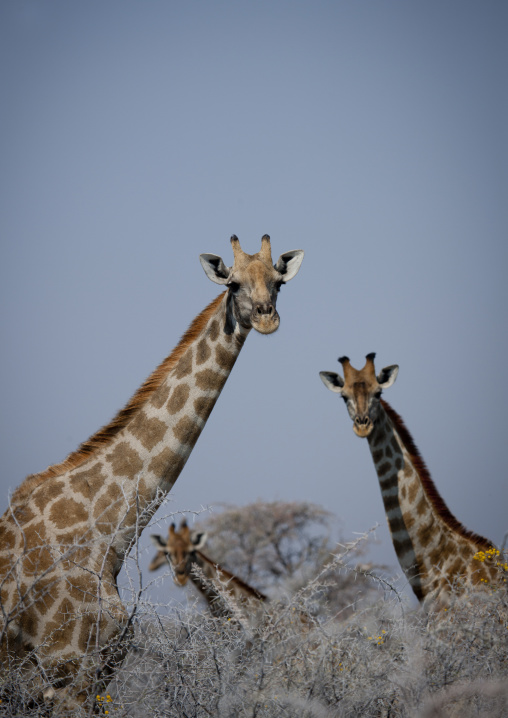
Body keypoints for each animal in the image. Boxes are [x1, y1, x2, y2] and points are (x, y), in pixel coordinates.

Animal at [0, 235, 303, 708]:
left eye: (279, 282)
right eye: (233, 284)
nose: (266, 317)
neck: (108, 537)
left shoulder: (96, 679)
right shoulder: (64, 679)